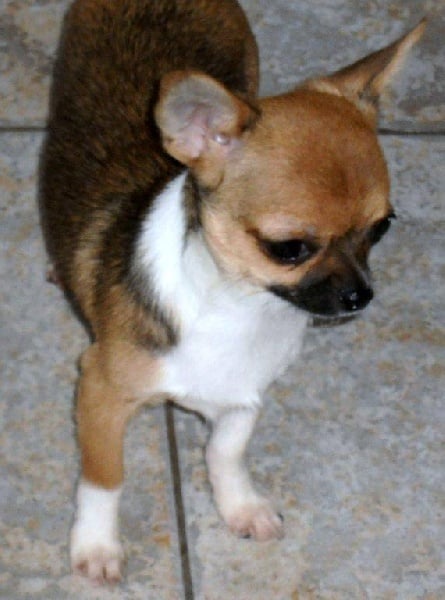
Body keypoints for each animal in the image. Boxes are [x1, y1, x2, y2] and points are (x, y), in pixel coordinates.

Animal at [39, 0, 425, 585]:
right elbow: (104, 479)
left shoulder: (245, 393)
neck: (241, 307)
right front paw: (98, 545)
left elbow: (226, 450)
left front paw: (240, 506)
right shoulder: (100, 393)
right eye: (289, 248)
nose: (361, 296)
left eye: (381, 228)